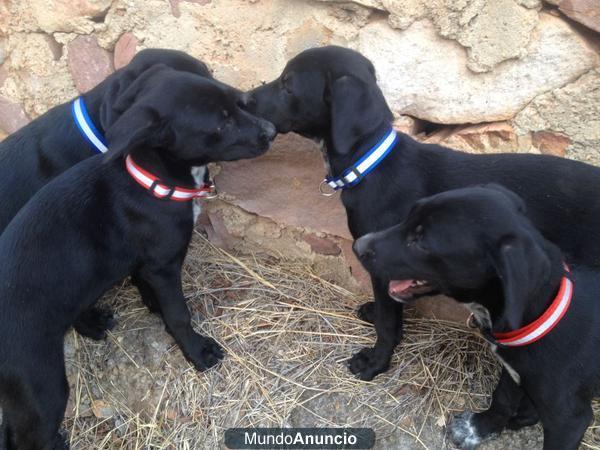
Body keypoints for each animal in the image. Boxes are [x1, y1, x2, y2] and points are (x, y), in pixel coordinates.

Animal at [0, 64, 276, 450]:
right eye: (220, 124)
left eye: (234, 105)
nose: (271, 131)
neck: (154, 181)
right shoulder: (163, 266)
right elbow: (179, 314)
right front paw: (197, 351)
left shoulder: (148, 265)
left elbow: (150, 292)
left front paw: (153, 307)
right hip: (39, 382)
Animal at [244, 45, 600, 382]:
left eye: (288, 84)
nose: (245, 99)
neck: (371, 163)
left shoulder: (383, 259)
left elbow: (388, 322)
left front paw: (376, 361)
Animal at [354, 183, 596, 450]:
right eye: (409, 215)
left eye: (421, 243)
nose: (358, 246)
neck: (546, 312)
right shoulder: (513, 367)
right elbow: (502, 398)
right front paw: (478, 429)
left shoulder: (569, 421)